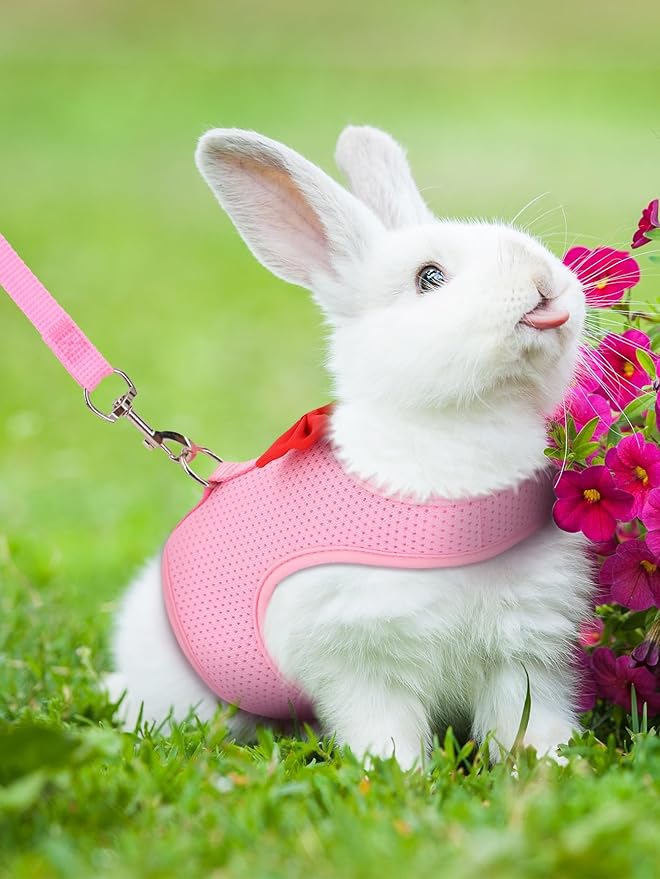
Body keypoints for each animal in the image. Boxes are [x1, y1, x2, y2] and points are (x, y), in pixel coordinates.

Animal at [106, 125, 592, 769]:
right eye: (429, 277)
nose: (545, 280)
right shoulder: (359, 657)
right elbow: (383, 726)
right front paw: (401, 775)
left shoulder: (525, 648)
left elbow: (526, 720)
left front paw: (553, 765)